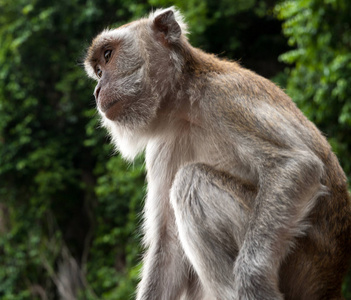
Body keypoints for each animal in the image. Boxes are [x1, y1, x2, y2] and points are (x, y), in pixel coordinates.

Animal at [84, 7, 351, 300]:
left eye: (108, 55)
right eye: (98, 70)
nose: (97, 90)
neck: (184, 104)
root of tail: (330, 283)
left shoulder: (225, 97)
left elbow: (294, 166)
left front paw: (252, 277)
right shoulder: (162, 146)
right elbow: (168, 243)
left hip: (303, 257)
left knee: (191, 182)